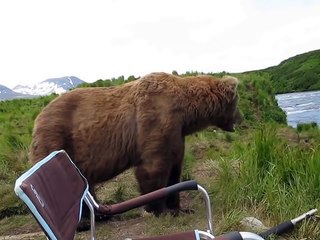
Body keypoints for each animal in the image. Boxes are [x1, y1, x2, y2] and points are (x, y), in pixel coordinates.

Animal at [29, 72, 240, 220]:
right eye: (236, 103)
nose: (241, 118)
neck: (185, 112)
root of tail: (38, 118)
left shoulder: (177, 134)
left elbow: (175, 169)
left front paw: (179, 208)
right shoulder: (154, 119)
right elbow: (153, 168)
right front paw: (158, 209)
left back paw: (101, 215)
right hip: (57, 140)